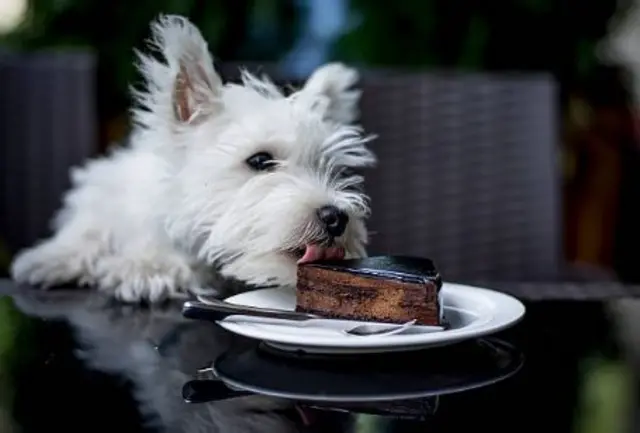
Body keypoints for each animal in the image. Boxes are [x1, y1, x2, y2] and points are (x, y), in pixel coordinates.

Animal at [10, 15, 378, 302]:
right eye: (260, 160)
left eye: (328, 167)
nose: (336, 217)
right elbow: (89, 229)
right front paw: (50, 259)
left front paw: (147, 268)